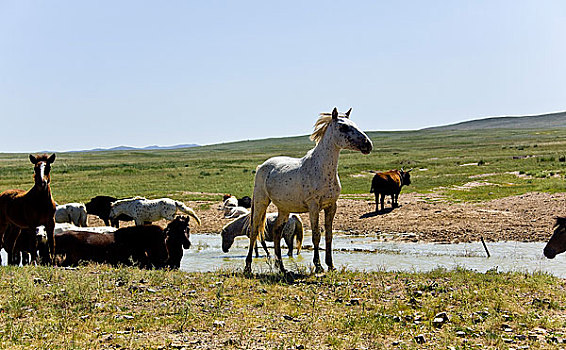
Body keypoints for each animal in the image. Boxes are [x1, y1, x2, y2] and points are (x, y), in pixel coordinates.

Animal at [245, 108, 372, 274]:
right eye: (343, 127)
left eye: (355, 124)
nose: (368, 145)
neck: (321, 169)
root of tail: (262, 166)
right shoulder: (314, 207)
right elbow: (316, 235)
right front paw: (318, 266)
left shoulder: (331, 206)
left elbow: (329, 235)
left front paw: (331, 265)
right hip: (261, 202)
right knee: (254, 231)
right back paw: (248, 267)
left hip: (284, 209)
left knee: (277, 232)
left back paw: (282, 268)